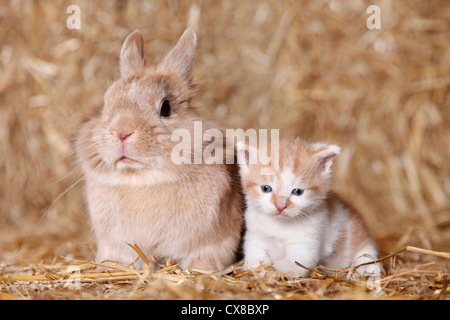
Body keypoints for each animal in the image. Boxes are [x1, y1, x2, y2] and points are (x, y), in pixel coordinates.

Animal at [237, 138, 382, 278]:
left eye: (297, 191)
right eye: (266, 188)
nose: (280, 206)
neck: (280, 225)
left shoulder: (307, 242)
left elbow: (293, 265)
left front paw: (276, 271)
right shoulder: (255, 235)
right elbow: (255, 254)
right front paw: (258, 269)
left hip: (358, 235)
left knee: (366, 251)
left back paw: (368, 268)